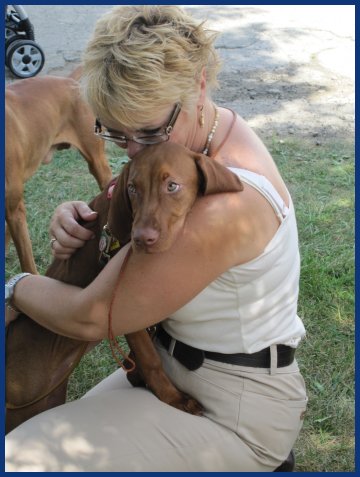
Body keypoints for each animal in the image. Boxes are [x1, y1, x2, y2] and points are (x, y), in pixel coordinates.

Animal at [5, 140, 243, 432]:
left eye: (172, 186)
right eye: (132, 189)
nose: (141, 239)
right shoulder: (123, 309)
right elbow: (150, 357)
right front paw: (172, 398)